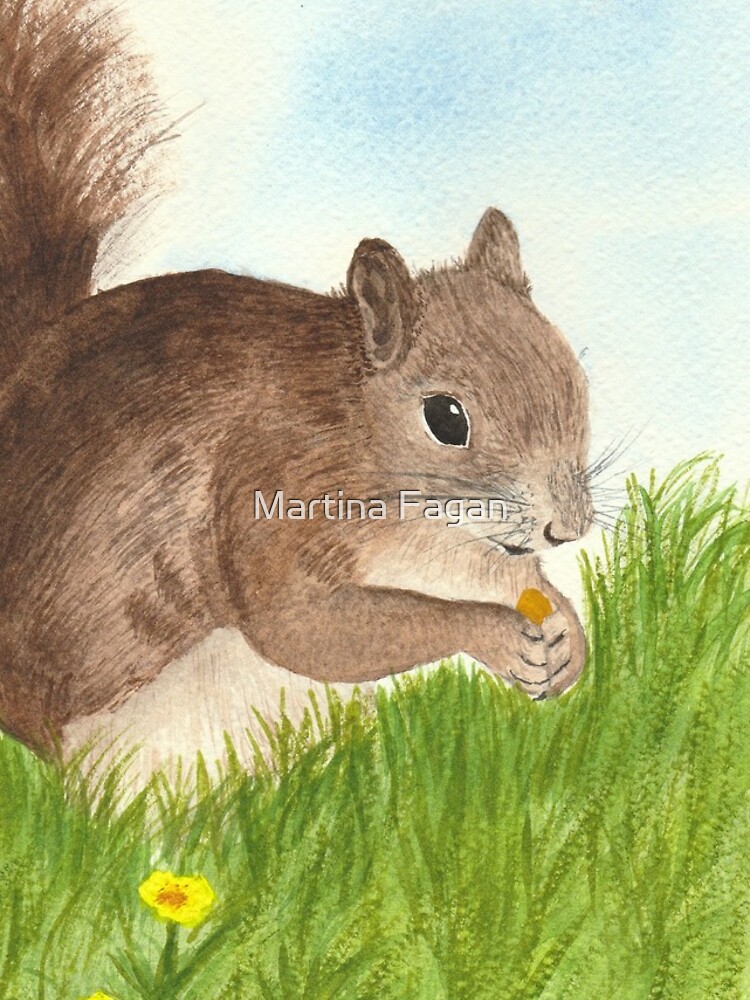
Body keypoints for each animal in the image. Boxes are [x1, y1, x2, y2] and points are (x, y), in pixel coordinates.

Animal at [0, 0, 594, 767]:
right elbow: (304, 627)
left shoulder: (458, 548)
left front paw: (569, 634)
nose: (568, 527)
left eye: (574, 378)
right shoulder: (269, 486)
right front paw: (487, 632)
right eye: (446, 419)